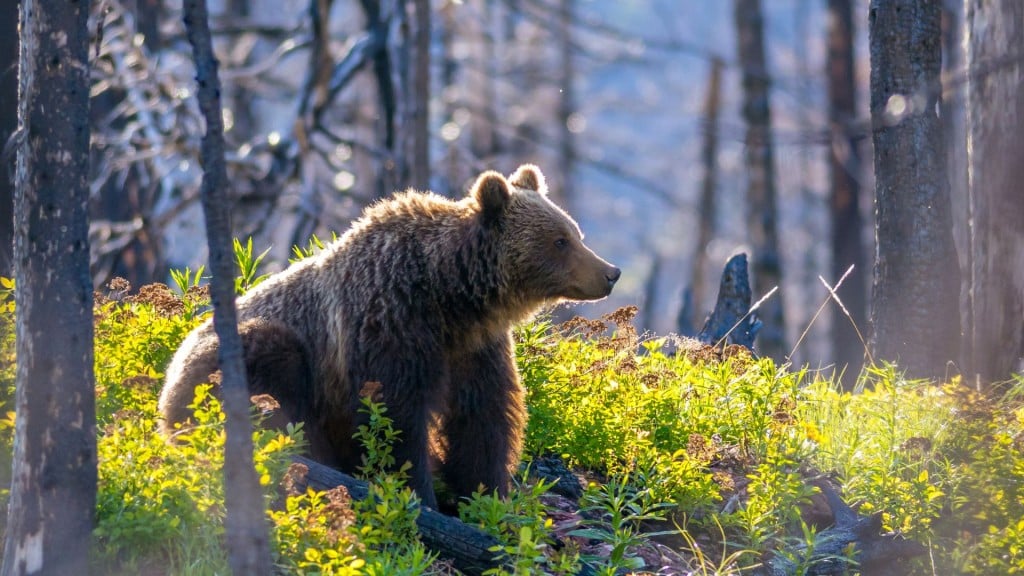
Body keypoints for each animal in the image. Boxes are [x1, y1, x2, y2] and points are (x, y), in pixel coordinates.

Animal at [158, 165, 620, 509]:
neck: (449, 294)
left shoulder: (474, 347)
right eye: (560, 240)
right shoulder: (388, 326)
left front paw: (485, 498)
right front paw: (420, 495)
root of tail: (164, 388)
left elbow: (482, 417)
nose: (610, 272)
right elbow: (393, 418)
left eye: (574, 233)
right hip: (240, 358)